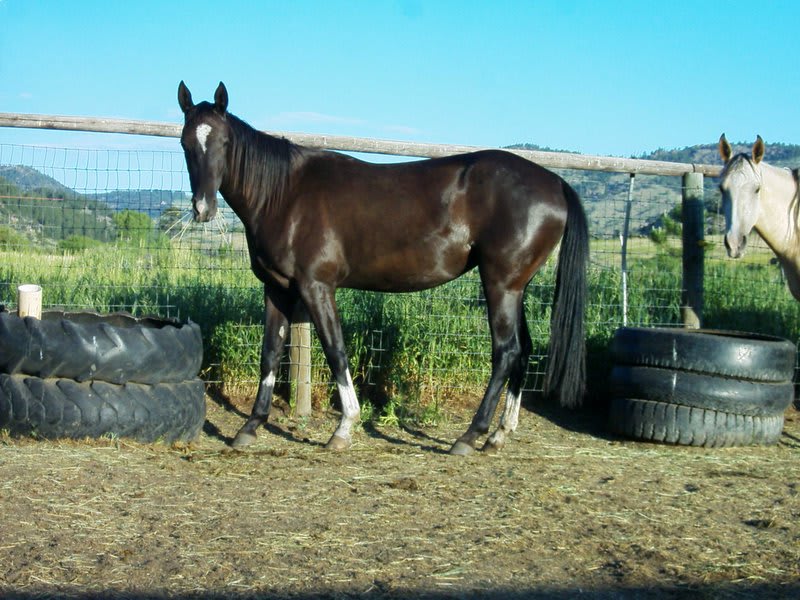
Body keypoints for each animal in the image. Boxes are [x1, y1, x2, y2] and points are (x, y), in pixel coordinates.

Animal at [178, 81, 589, 455]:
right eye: (186, 144)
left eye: (224, 143)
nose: (202, 209)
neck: (285, 194)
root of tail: (556, 183)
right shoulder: (277, 288)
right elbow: (269, 352)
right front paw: (250, 427)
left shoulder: (316, 286)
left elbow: (336, 349)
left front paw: (344, 427)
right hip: (516, 287)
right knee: (524, 349)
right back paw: (498, 435)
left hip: (500, 285)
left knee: (505, 352)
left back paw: (469, 436)